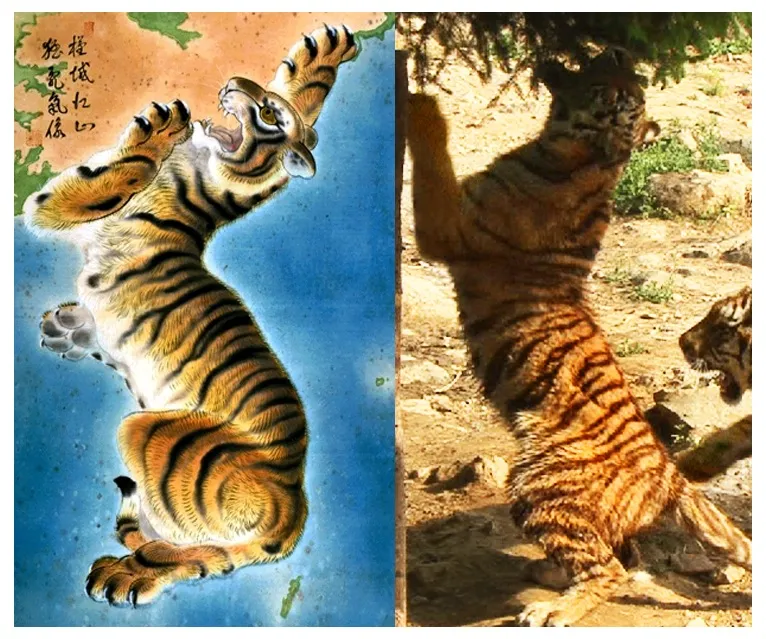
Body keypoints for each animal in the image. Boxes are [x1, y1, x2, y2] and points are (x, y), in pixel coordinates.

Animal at [23, 25, 357, 607]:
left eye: (267, 113)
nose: (233, 83)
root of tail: (294, 509)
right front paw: (325, 55)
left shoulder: (65, 208)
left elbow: (116, 174)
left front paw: (158, 128)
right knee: (202, 552)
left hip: (150, 433)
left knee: (188, 546)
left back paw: (127, 575)